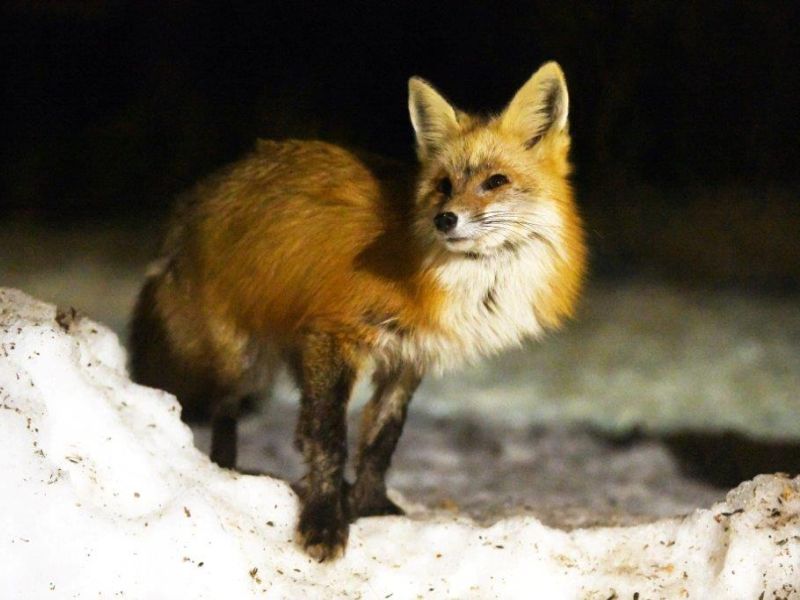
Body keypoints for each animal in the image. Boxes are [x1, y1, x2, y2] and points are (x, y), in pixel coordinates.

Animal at [129, 61, 586, 561]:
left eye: (496, 181)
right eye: (443, 186)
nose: (445, 219)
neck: (465, 281)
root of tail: (199, 194)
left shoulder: (409, 356)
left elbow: (380, 441)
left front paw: (371, 508)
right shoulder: (335, 335)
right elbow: (330, 438)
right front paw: (325, 521)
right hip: (243, 359)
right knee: (226, 409)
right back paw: (226, 471)